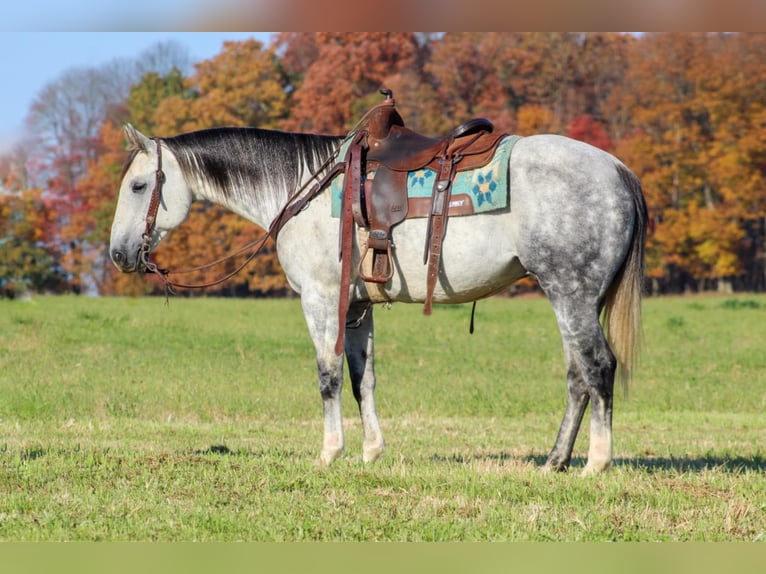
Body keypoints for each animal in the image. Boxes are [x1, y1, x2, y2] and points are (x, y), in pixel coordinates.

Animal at [109, 122, 648, 476]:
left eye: (138, 185)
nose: (117, 254)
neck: (303, 189)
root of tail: (617, 169)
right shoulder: (356, 309)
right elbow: (360, 379)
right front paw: (371, 451)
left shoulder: (321, 300)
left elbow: (327, 377)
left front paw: (330, 453)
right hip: (573, 299)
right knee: (578, 376)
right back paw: (555, 461)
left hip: (570, 293)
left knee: (598, 367)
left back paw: (596, 463)